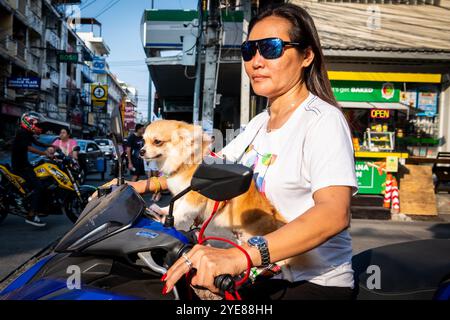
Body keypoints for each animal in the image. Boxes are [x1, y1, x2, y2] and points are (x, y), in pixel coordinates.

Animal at [141, 120, 284, 242]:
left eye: (157, 142)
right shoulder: (182, 194)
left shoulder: (194, 197)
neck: (184, 163)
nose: (141, 151)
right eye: (144, 141)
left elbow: (180, 210)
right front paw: (162, 211)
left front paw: (168, 221)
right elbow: (175, 205)